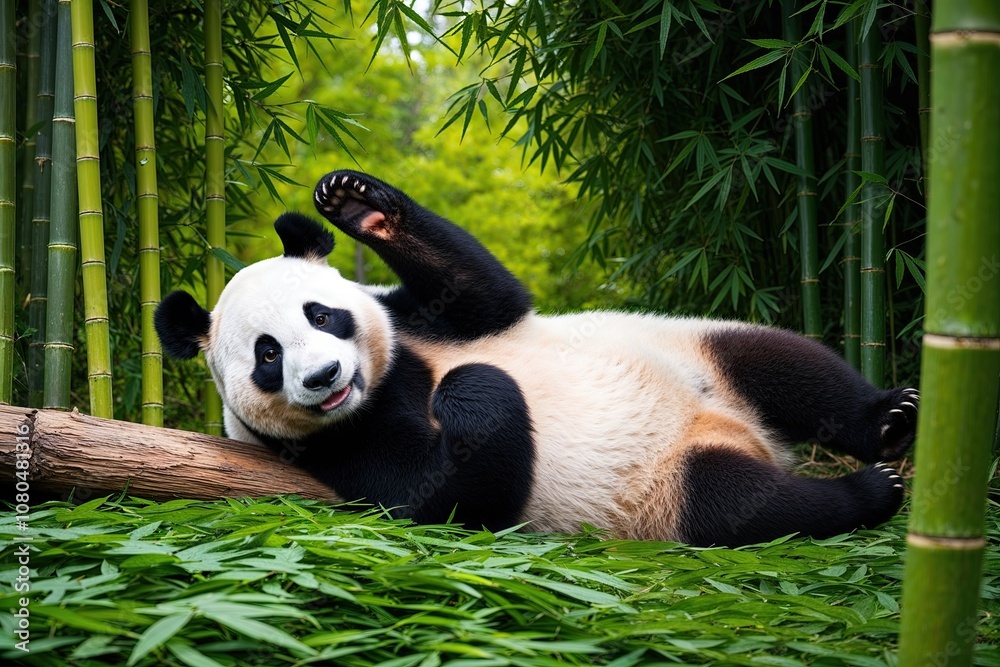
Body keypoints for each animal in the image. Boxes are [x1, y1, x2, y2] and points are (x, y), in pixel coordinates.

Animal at [154, 169, 918, 547]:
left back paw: (890, 421)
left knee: (781, 361)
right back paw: (869, 489)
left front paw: (357, 202)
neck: (391, 381)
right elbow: (449, 495)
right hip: (665, 492)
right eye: (268, 355)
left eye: (321, 314)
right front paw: (471, 392)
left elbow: (488, 293)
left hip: (699, 351)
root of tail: (741, 435)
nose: (324, 377)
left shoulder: (419, 319)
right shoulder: (332, 452)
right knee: (747, 508)